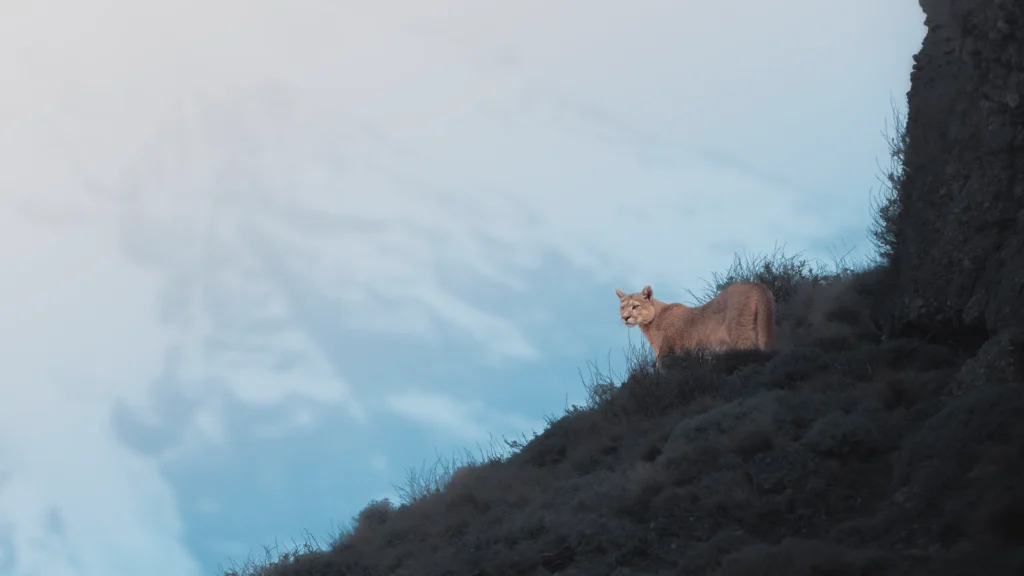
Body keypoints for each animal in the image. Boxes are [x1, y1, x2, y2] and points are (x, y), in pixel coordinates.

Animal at [615, 282, 775, 367]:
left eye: (635, 306)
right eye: (622, 307)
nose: (625, 317)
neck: (649, 325)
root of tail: (756, 285)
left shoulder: (666, 356)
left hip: (740, 335)